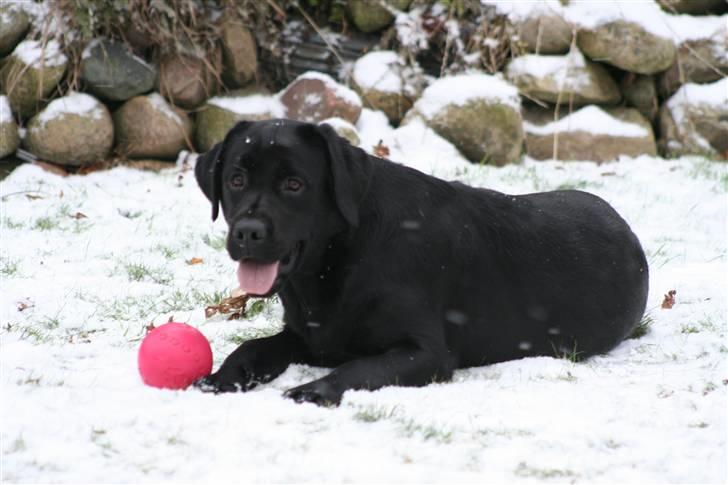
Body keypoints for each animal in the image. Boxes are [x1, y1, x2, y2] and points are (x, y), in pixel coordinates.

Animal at [193, 118, 648, 404]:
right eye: (236, 179)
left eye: (294, 184)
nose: (248, 232)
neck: (338, 260)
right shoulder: (312, 336)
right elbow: (251, 348)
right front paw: (220, 378)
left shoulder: (426, 352)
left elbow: (359, 368)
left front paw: (315, 390)